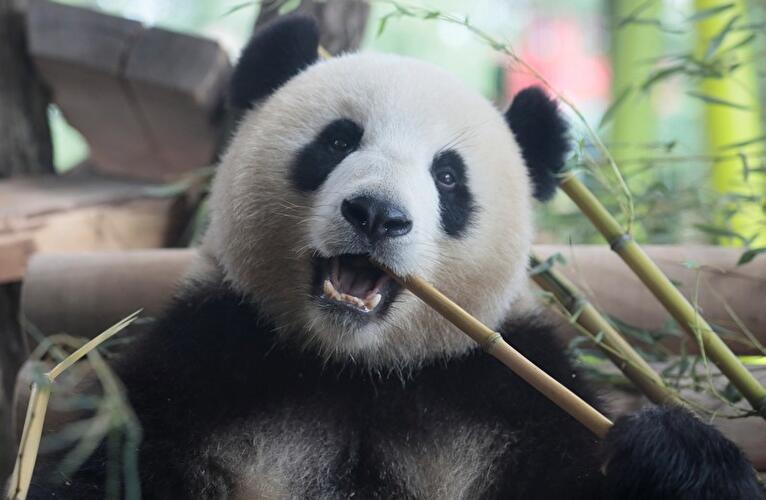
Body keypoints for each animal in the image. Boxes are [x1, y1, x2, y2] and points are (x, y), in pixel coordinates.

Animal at [29, 14, 762, 500]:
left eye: (448, 177)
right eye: (336, 140)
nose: (378, 215)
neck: (358, 367)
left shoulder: (509, 397)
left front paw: (677, 458)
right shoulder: (203, 364)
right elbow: (106, 467)